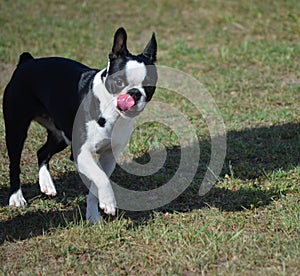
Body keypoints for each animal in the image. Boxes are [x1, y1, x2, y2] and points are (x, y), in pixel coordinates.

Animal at [3, 27, 158, 223]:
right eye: (119, 82)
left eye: (149, 86)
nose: (134, 94)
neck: (109, 111)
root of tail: (27, 61)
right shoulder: (81, 153)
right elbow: (101, 177)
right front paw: (109, 202)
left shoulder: (109, 156)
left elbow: (96, 183)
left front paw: (93, 215)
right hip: (17, 128)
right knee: (14, 162)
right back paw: (16, 197)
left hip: (60, 135)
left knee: (42, 152)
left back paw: (46, 184)